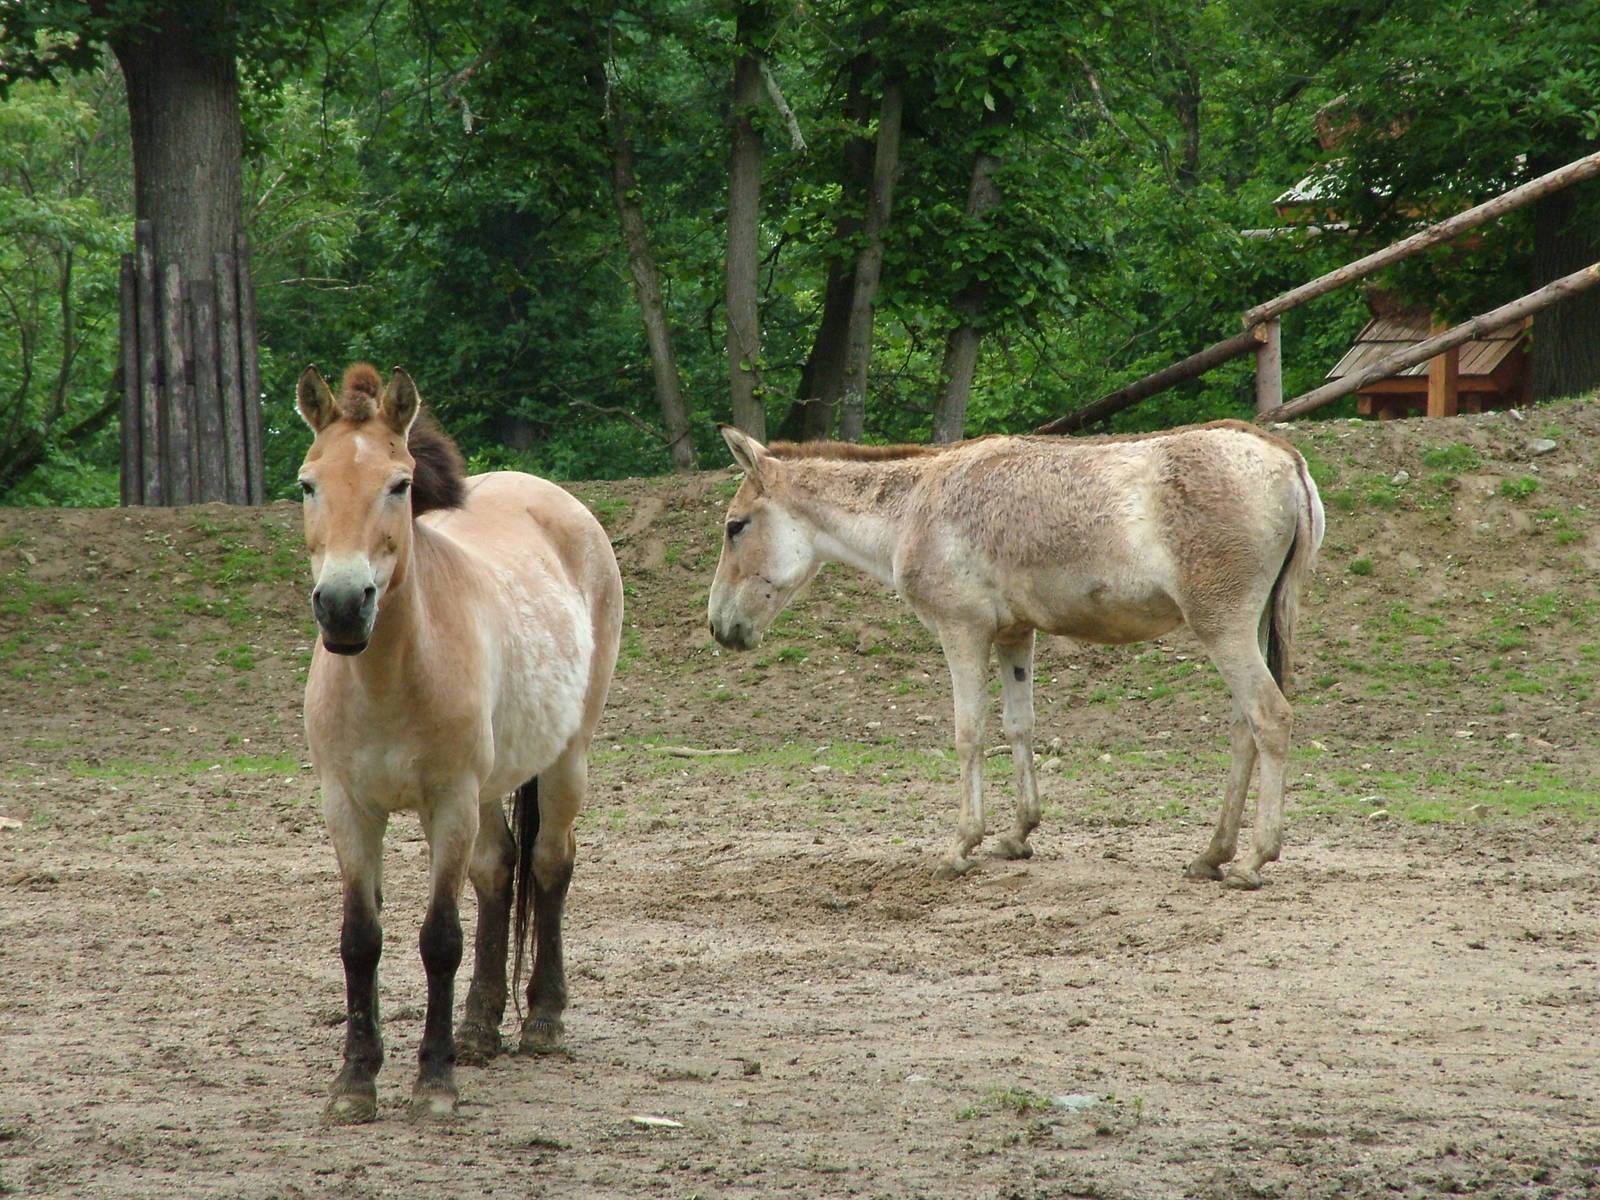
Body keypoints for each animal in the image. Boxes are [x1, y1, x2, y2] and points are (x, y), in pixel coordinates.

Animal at [294, 364, 622, 1123]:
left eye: (398, 484)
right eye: (307, 483)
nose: (344, 605)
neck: (389, 677)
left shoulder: (449, 802)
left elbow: (440, 939)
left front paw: (434, 1083)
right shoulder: (347, 807)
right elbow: (361, 941)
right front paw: (355, 1082)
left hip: (564, 762)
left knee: (550, 864)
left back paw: (541, 1020)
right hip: (493, 788)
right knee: (499, 873)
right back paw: (479, 1027)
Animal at [707, 420, 1323, 889]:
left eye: (735, 527)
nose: (719, 627)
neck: (914, 508)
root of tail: (1286, 458)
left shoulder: (962, 631)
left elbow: (969, 732)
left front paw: (962, 846)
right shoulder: (1013, 636)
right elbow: (1018, 726)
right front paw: (1017, 835)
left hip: (1223, 626)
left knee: (1270, 718)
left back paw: (1252, 861)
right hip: (1248, 628)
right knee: (1245, 729)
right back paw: (1212, 855)